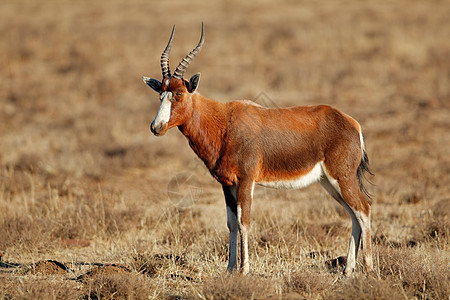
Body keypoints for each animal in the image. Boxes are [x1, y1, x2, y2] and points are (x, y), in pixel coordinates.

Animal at [142, 24, 374, 276]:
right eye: (161, 93)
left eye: (179, 93)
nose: (156, 127)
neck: (225, 122)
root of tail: (352, 123)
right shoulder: (227, 184)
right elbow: (231, 223)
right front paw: (230, 269)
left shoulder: (246, 180)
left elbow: (244, 221)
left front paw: (244, 270)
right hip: (329, 182)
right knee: (353, 214)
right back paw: (348, 270)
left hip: (342, 177)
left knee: (363, 209)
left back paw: (369, 268)